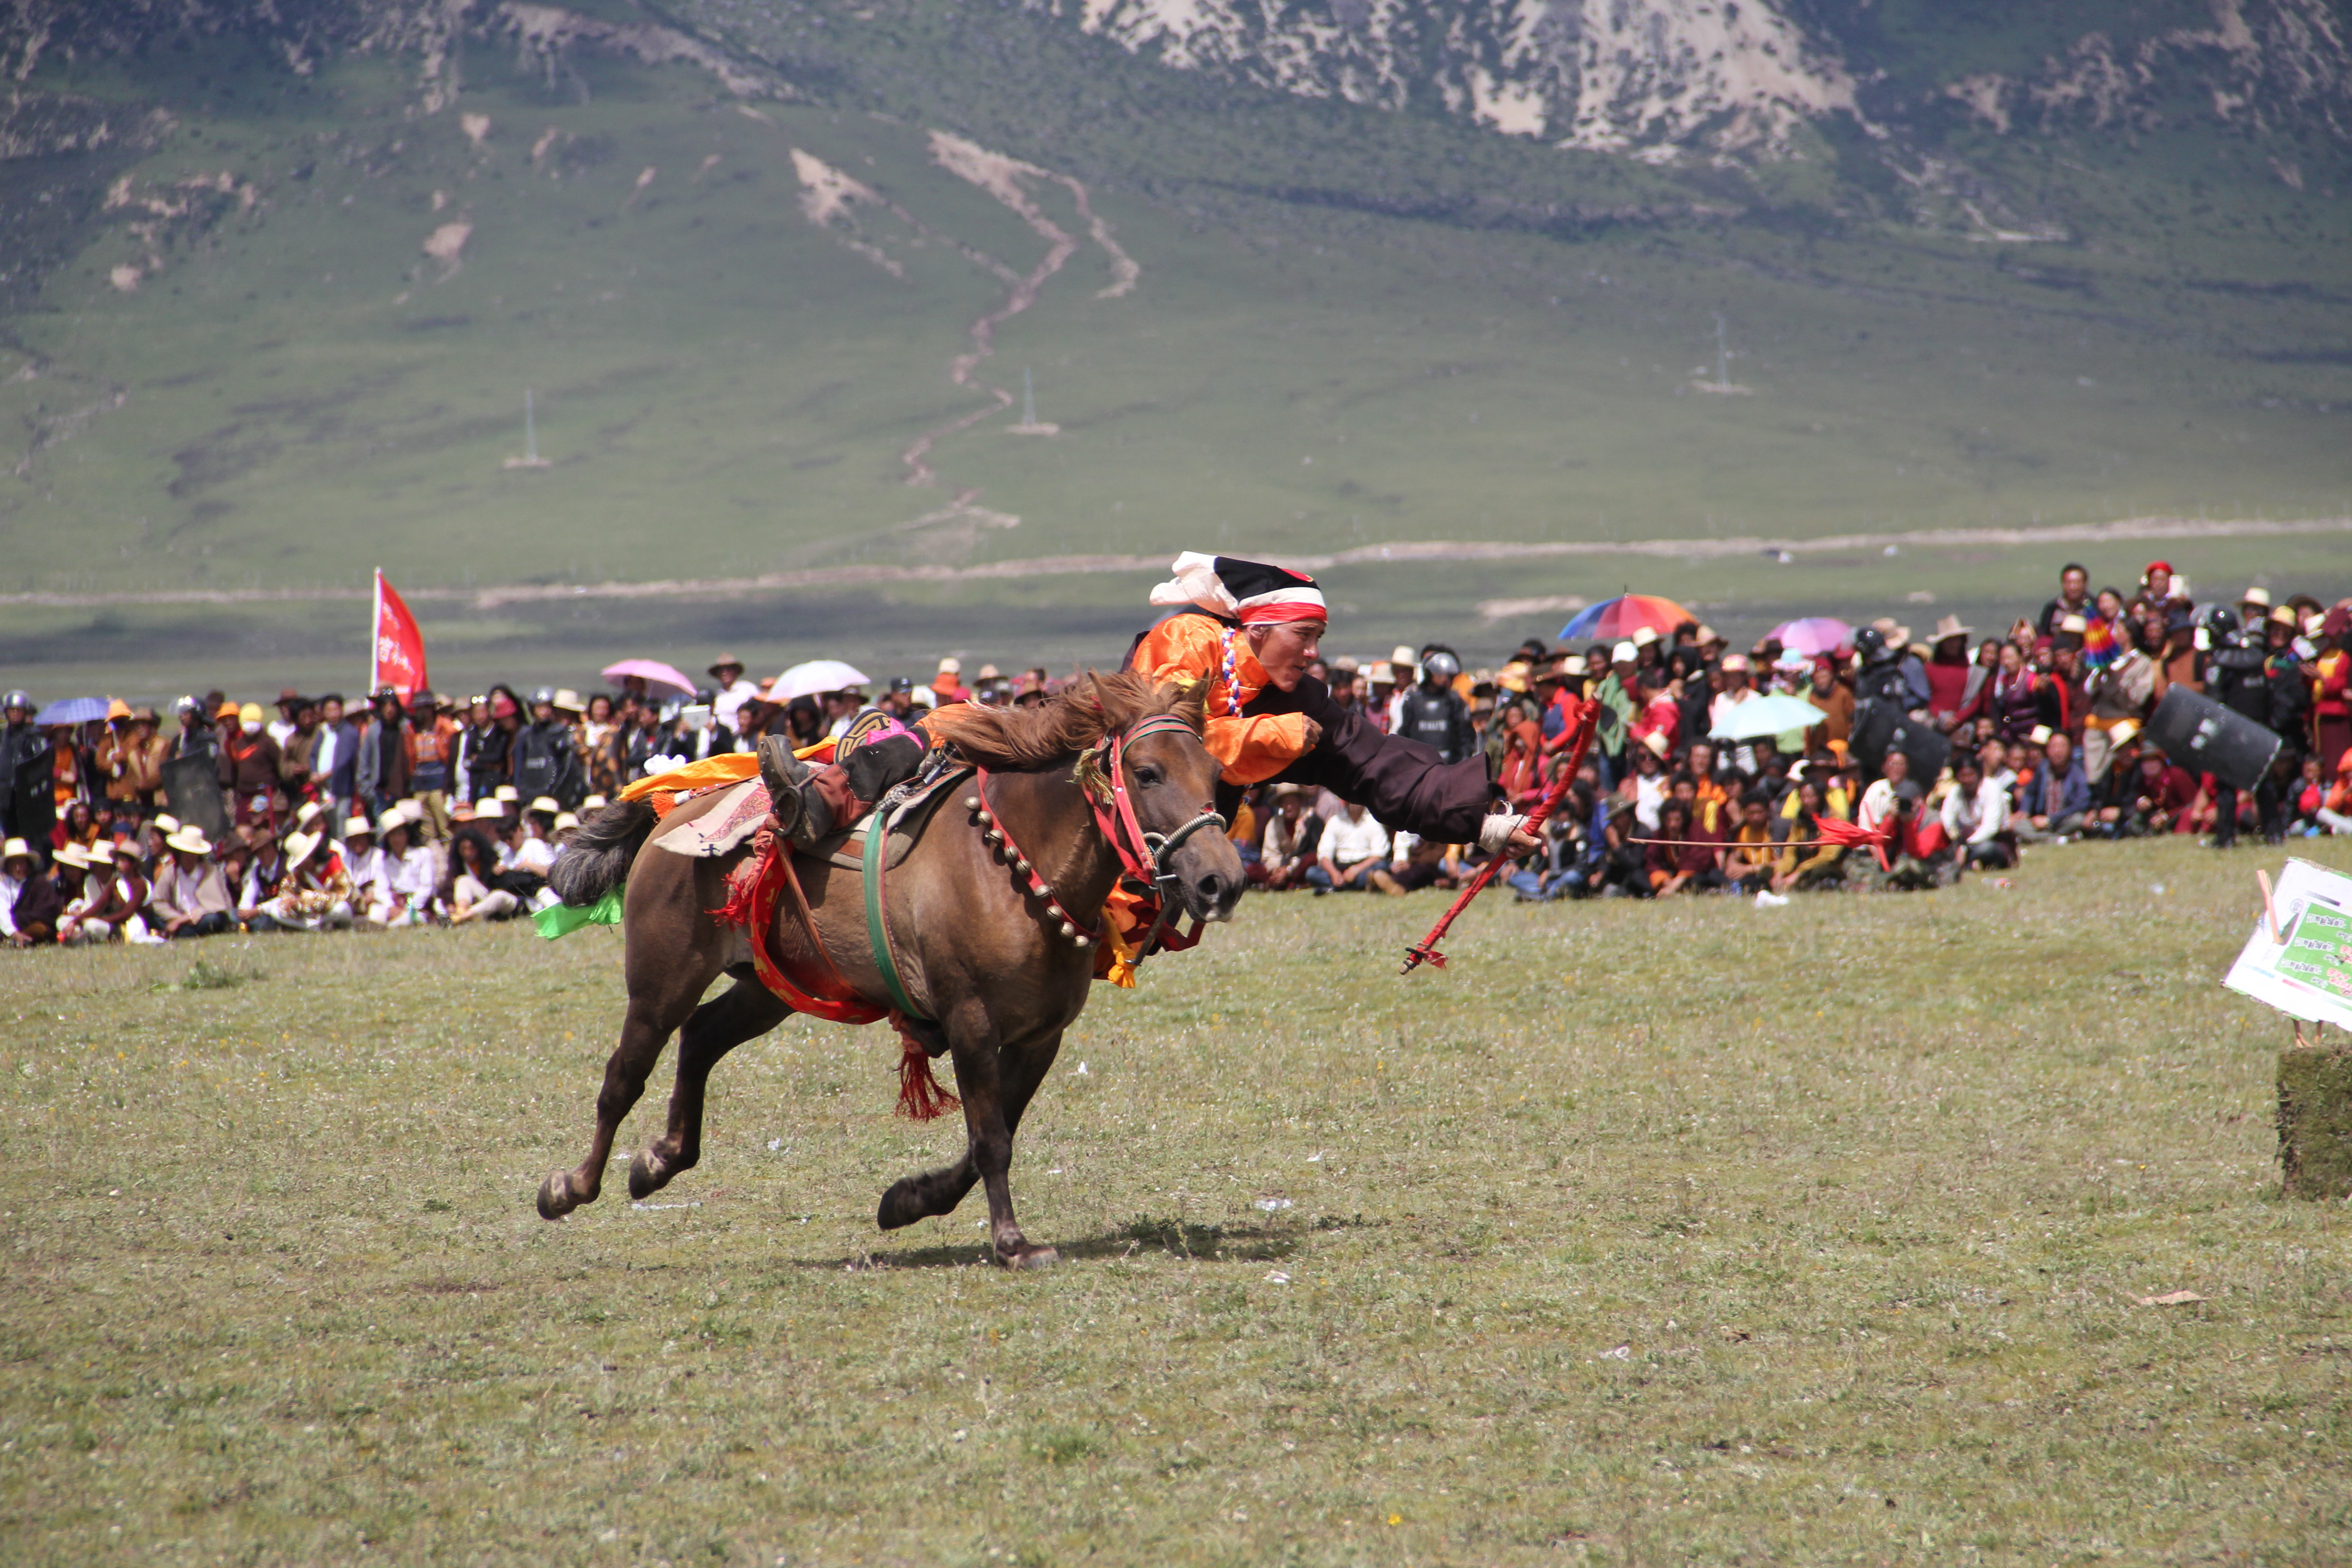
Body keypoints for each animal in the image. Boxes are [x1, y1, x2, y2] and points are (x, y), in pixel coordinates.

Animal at [527, 667, 1242, 1269]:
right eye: (1147, 773)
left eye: (1214, 773)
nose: (1221, 882)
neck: (1010, 865)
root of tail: (676, 810)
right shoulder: (971, 1023)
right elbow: (991, 1138)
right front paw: (1012, 1242)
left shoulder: (1040, 1038)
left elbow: (991, 1134)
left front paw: (910, 1201)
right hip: (661, 982)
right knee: (624, 1077)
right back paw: (570, 1187)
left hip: (769, 988)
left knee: (701, 1038)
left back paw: (659, 1161)